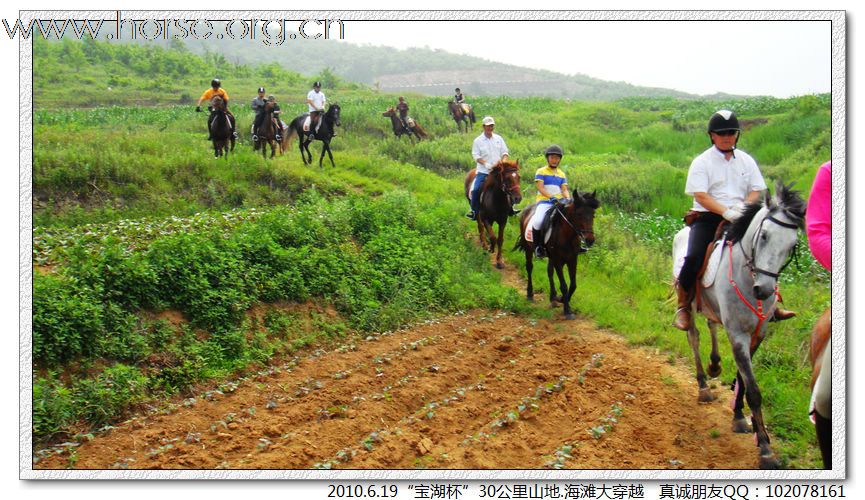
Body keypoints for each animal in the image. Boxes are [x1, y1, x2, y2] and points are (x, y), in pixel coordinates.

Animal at [672, 181, 808, 468]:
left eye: (792, 244)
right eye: (764, 235)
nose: (764, 290)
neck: (748, 277)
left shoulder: (757, 334)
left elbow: (743, 381)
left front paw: (740, 418)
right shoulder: (737, 335)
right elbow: (753, 389)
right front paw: (765, 448)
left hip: (710, 307)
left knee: (711, 326)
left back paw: (714, 364)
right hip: (691, 303)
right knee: (694, 336)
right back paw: (703, 386)